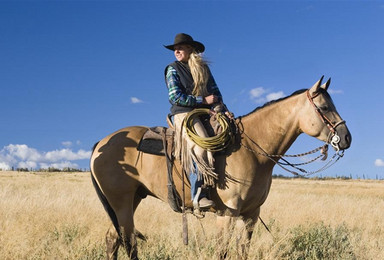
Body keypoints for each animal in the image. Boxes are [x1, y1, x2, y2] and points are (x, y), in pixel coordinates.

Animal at [89, 76, 352, 258]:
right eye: (325, 108)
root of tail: (101, 142)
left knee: (113, 238)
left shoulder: (251, 215)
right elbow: (221, 252)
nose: (346, 137)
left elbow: (242, 252)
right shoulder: (227, 214)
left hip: (132, 199)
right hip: (121, 202)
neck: (251, 150)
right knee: (128, 242)